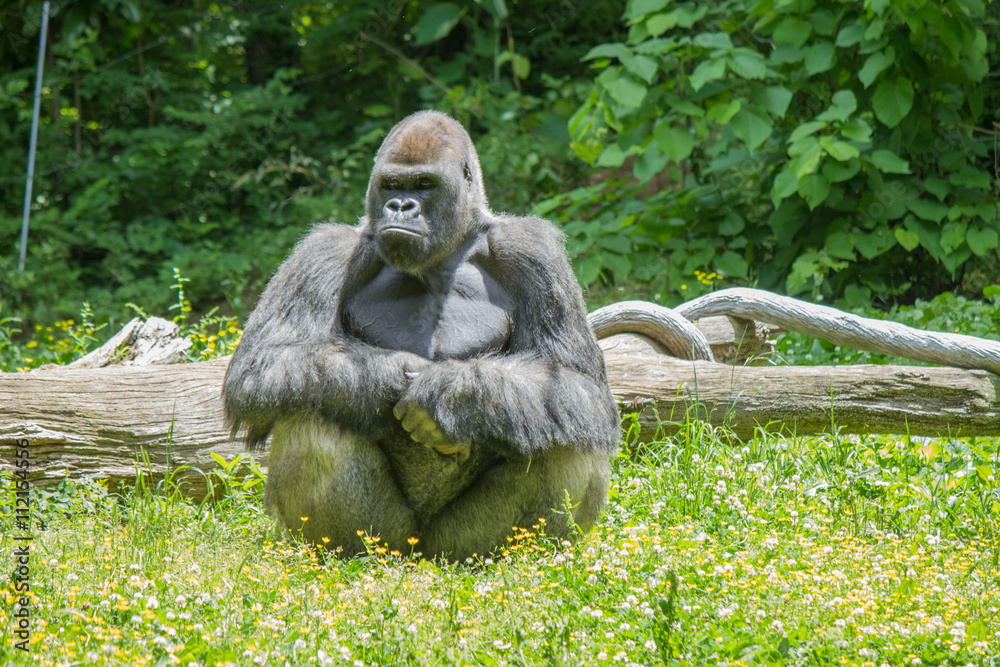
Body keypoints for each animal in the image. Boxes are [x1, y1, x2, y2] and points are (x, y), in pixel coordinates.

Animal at [222, 110, 621, 561]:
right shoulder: (325, 251)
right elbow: (262, 365)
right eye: (392, 185)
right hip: (390, 539)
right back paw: (339, 552)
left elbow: (578, 383)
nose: (400, 206)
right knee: (311, 413)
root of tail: (423, 553)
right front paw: (393, 376)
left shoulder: (533, 251)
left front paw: (449, 392)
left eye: (424, 184)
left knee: (565, 429)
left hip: (462, 545)